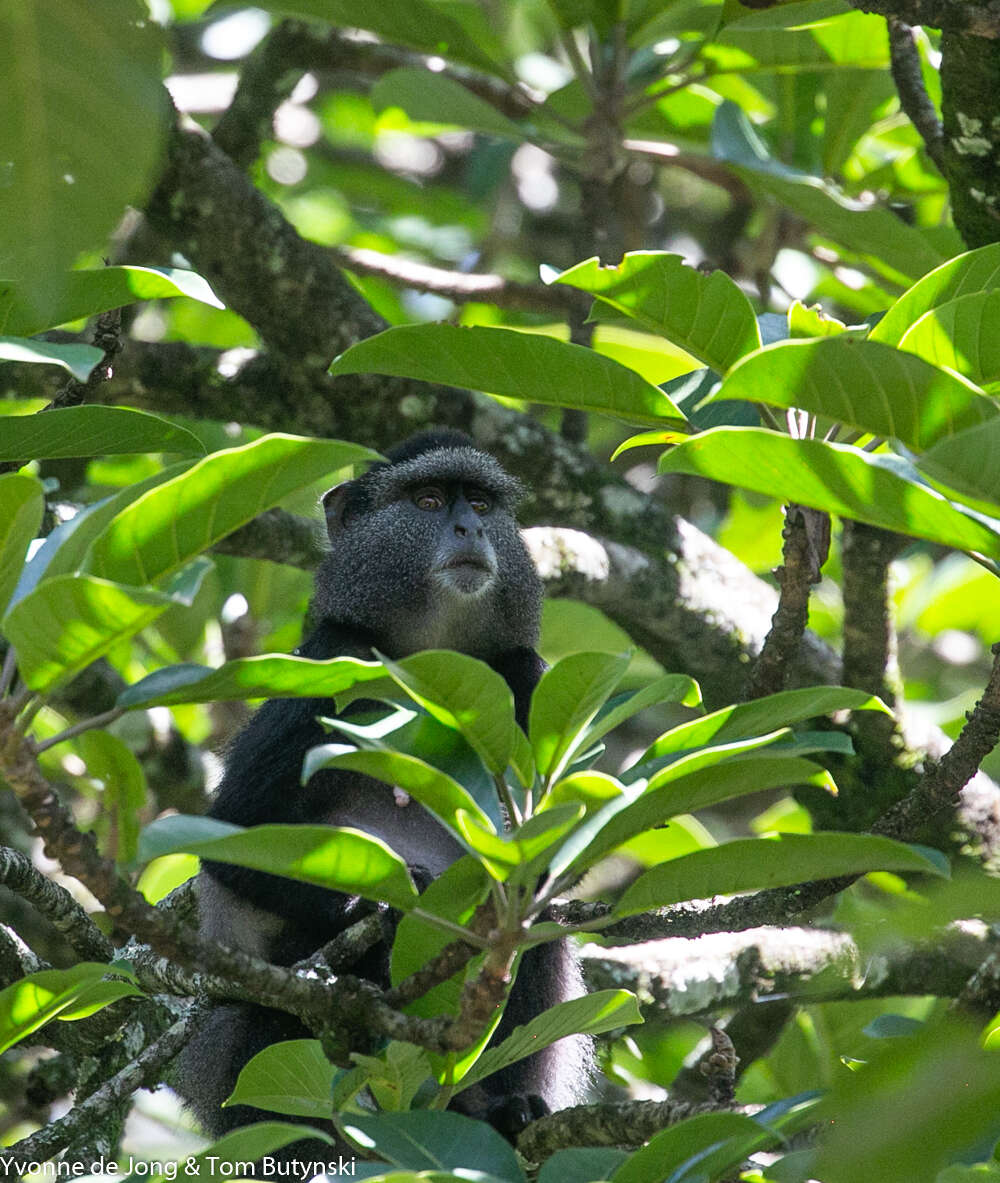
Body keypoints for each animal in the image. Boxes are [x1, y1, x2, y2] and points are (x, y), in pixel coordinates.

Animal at [175, 432, 589, 1164]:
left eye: (480, 502)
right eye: (427, 500)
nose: (469, 528)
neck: (434, 666)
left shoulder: (525, 674)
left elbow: (542, 877)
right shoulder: (330, 658)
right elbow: (233, 835)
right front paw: (384, 904)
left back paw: (502, 1108)